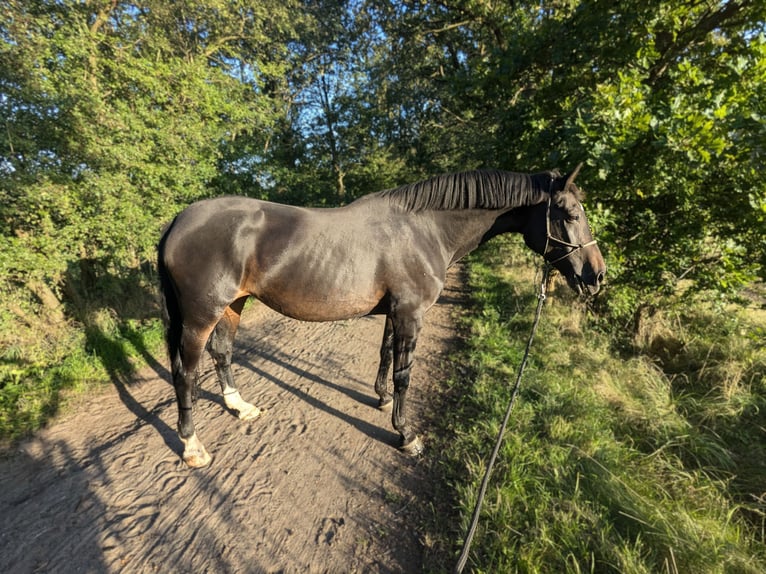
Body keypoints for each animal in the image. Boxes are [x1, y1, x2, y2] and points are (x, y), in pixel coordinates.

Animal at [159, 165, 608, 468]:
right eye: (570, 214)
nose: (597, 276)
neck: (424, 229)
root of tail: (178, 221)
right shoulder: (411, 313)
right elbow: (404, 373)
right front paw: (406, 434)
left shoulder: (396, 311)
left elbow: (387, 354)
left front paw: (381, 398)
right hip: (201, 315)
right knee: (186, 372)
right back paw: (193, 446)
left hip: (232, 305)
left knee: (222, 352)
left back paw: (240, 407)